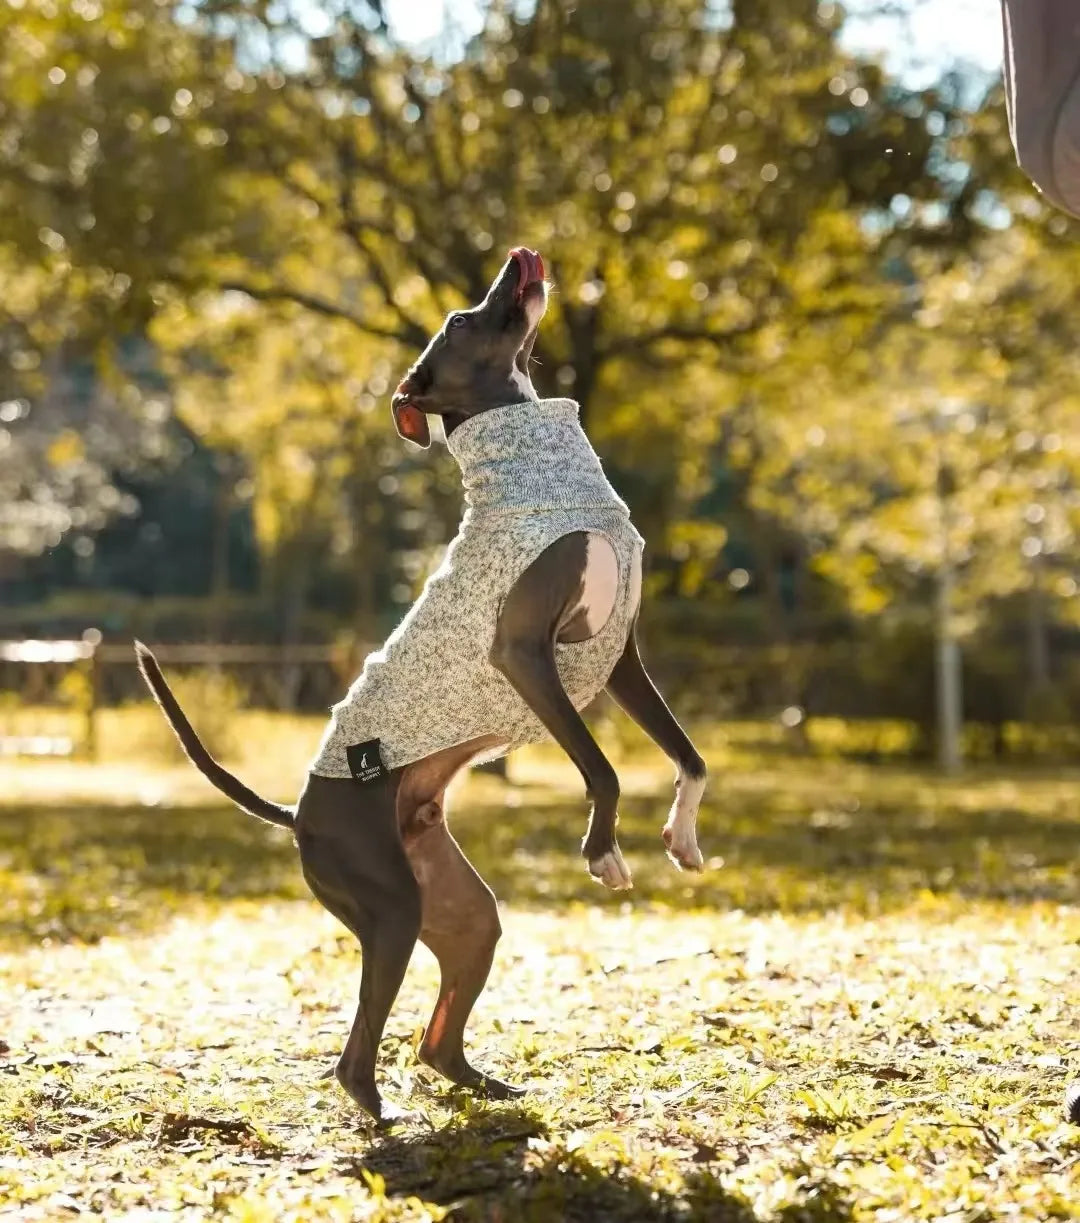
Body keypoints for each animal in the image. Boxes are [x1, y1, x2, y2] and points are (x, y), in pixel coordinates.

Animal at [136, 247, 707, 1125]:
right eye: (463, 319)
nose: (520, 256)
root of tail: (298, 812)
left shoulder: (619, 660)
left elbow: (690, 756)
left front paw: (681, 835)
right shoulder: (524, 654)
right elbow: (603, 768)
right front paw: (604, 852)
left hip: (461, 911)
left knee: (435, 1041)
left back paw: (483, 1088)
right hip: (390, 908)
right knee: (354, 1053)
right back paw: (383, 1117)